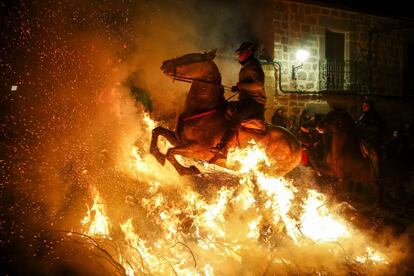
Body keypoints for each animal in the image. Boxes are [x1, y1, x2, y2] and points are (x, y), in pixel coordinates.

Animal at [149, 49, 300, 175]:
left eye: (191, 58)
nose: (165, 64)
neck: (204, 111)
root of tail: (298, 146)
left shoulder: (199, 150)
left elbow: (170, 153)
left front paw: (188, 170)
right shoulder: (179, 140)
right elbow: (157, 131)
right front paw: (156, 153)